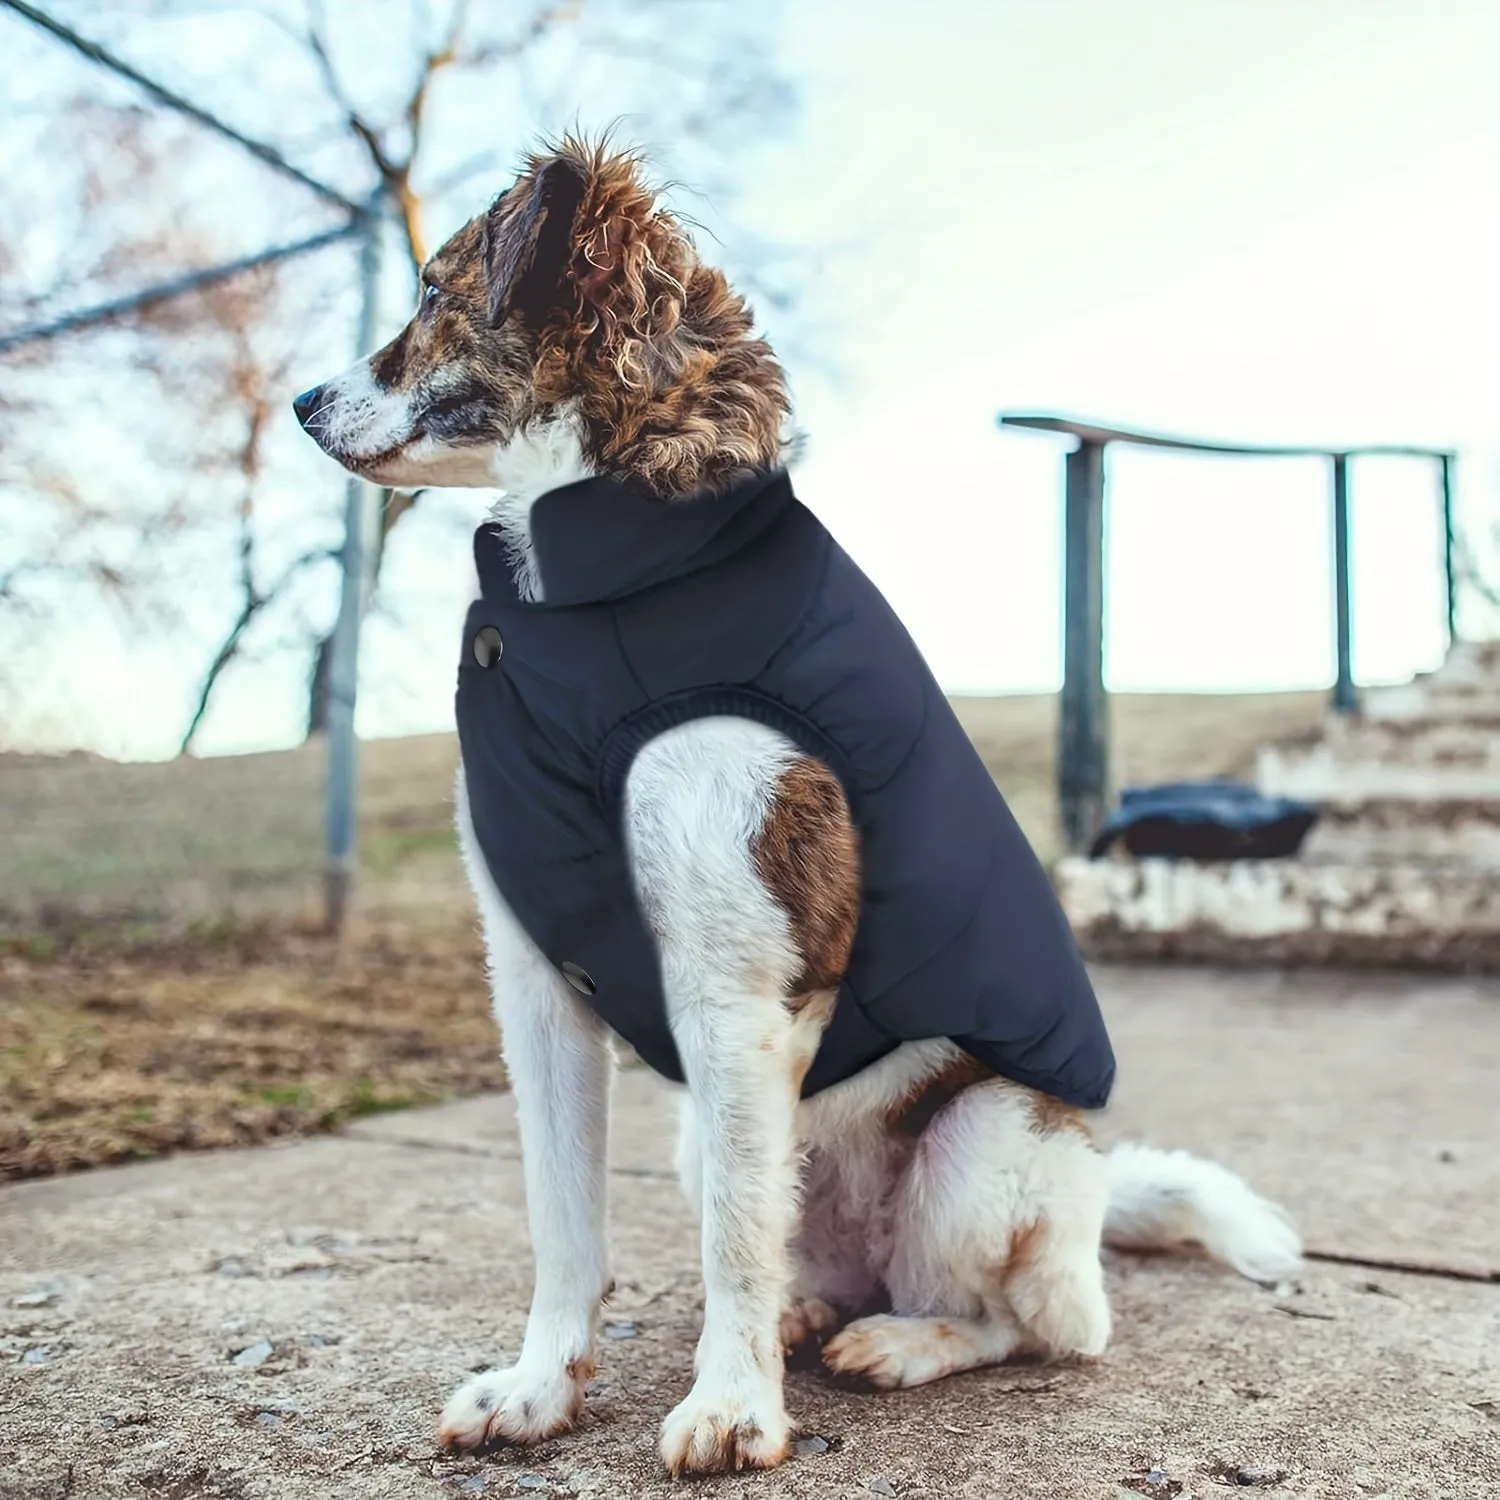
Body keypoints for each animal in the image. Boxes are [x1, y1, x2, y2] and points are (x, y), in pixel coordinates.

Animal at [295, 138, 1302, 1476]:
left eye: (428, 286)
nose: (302, 401)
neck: (601, 587)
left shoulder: (732, 987)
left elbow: (730, 1238)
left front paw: (732, 1407)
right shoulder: (536, 979)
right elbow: (567, 1221)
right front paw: (541, 1388)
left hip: (984, 1141)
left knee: (1035, 1325)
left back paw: (903, 1342)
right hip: (722, 1139)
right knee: (792, 1241)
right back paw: (809, 1309)